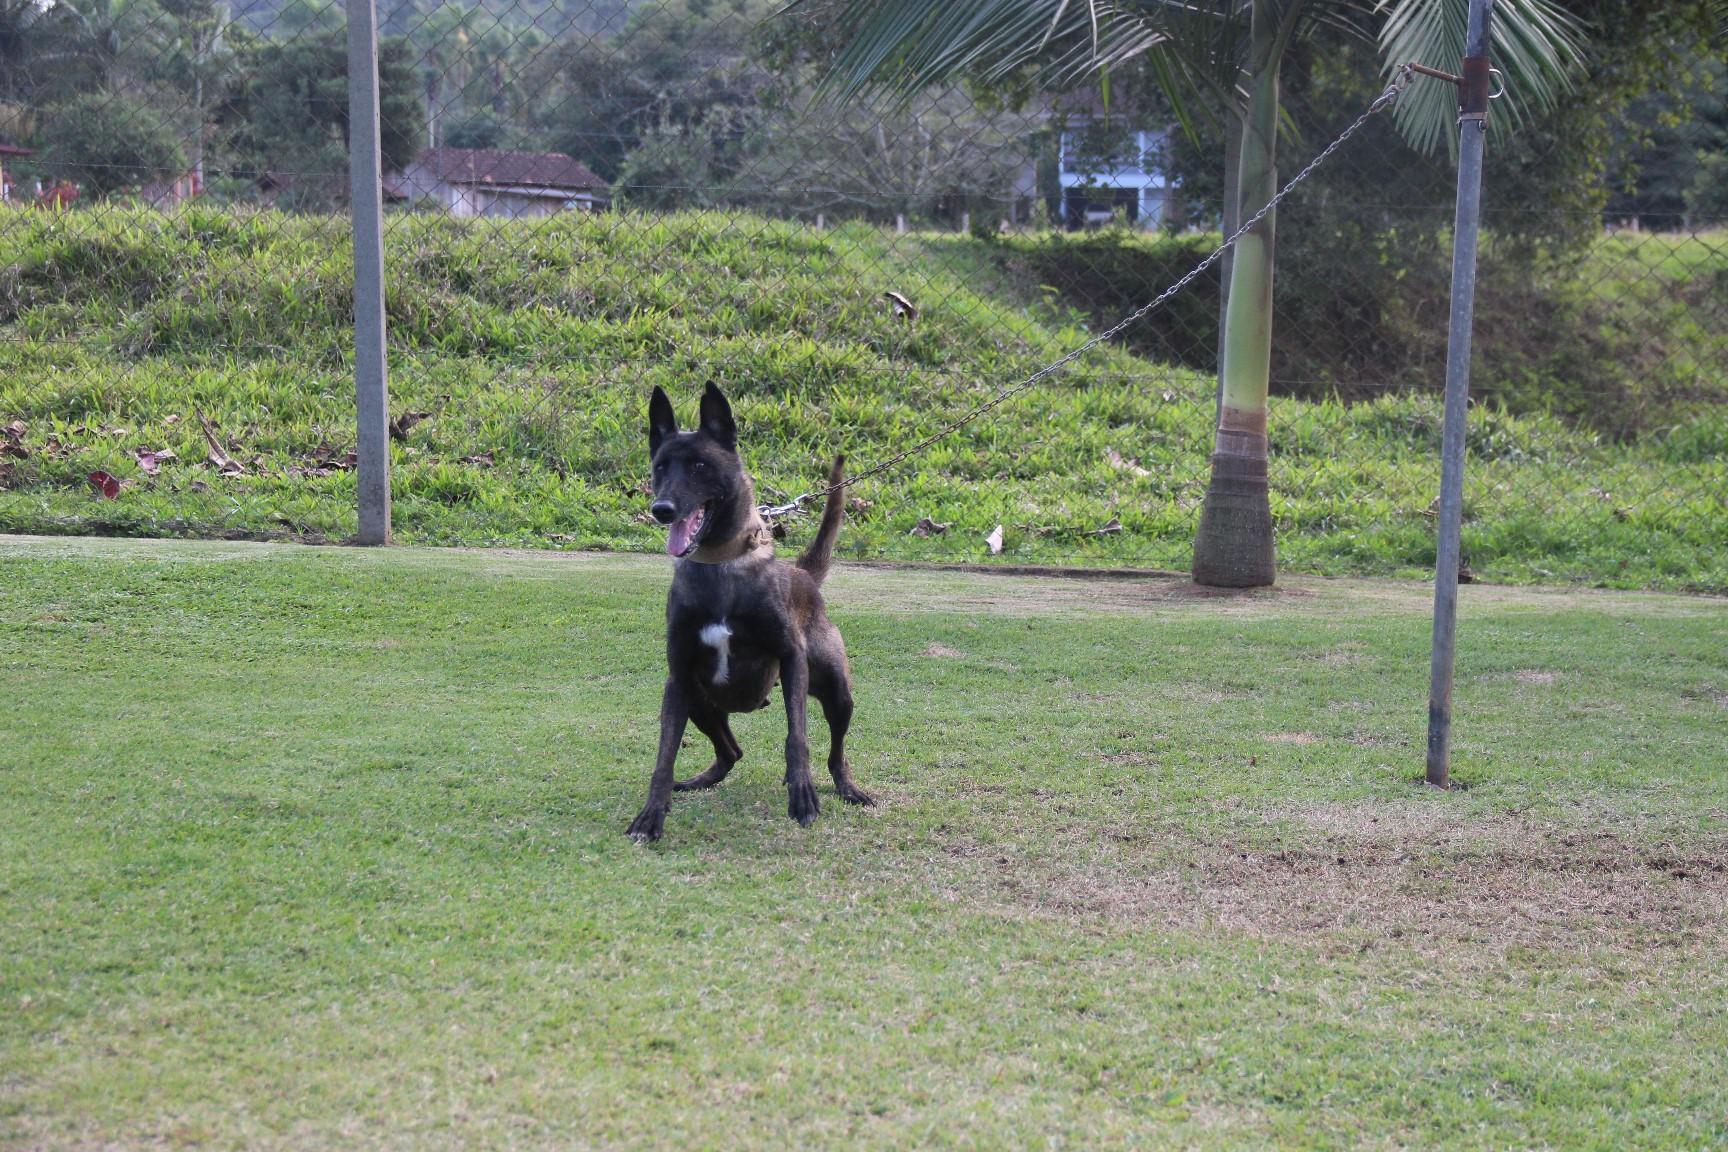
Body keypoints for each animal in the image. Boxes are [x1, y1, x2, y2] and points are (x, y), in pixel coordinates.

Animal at [628, 383, 870, 842]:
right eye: (660, 466)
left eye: (700, 465)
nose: (661, 509)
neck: (721, 566)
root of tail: (802, 575)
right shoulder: (678, 678)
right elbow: (664, 757)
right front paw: (651, 815)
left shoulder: (792, 660)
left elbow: (798, 737)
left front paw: (802, 793)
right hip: (699, 700)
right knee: (731, 751)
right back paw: (702, 779)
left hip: (836, 691)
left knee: (836, 751)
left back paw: (846, 786)